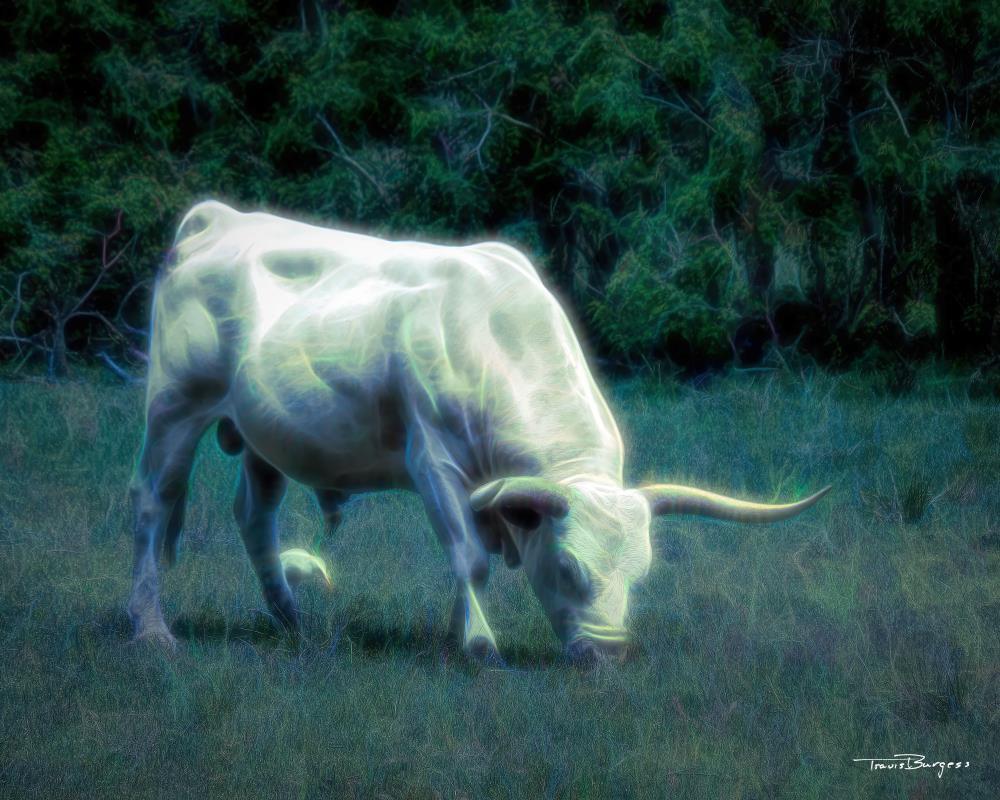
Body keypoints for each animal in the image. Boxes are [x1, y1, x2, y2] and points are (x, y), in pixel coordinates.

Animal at [129, 200, 829, 665]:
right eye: (569, 565)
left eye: (642, 572)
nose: (606, 654)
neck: (497, 335)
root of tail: (217, 218)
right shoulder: (433, 462)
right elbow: (468, 555)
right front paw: (478, 644)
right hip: (174, 406)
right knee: (152, 504)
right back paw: (151, 629)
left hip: (265, 436)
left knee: (255, 514)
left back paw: (291, 622)